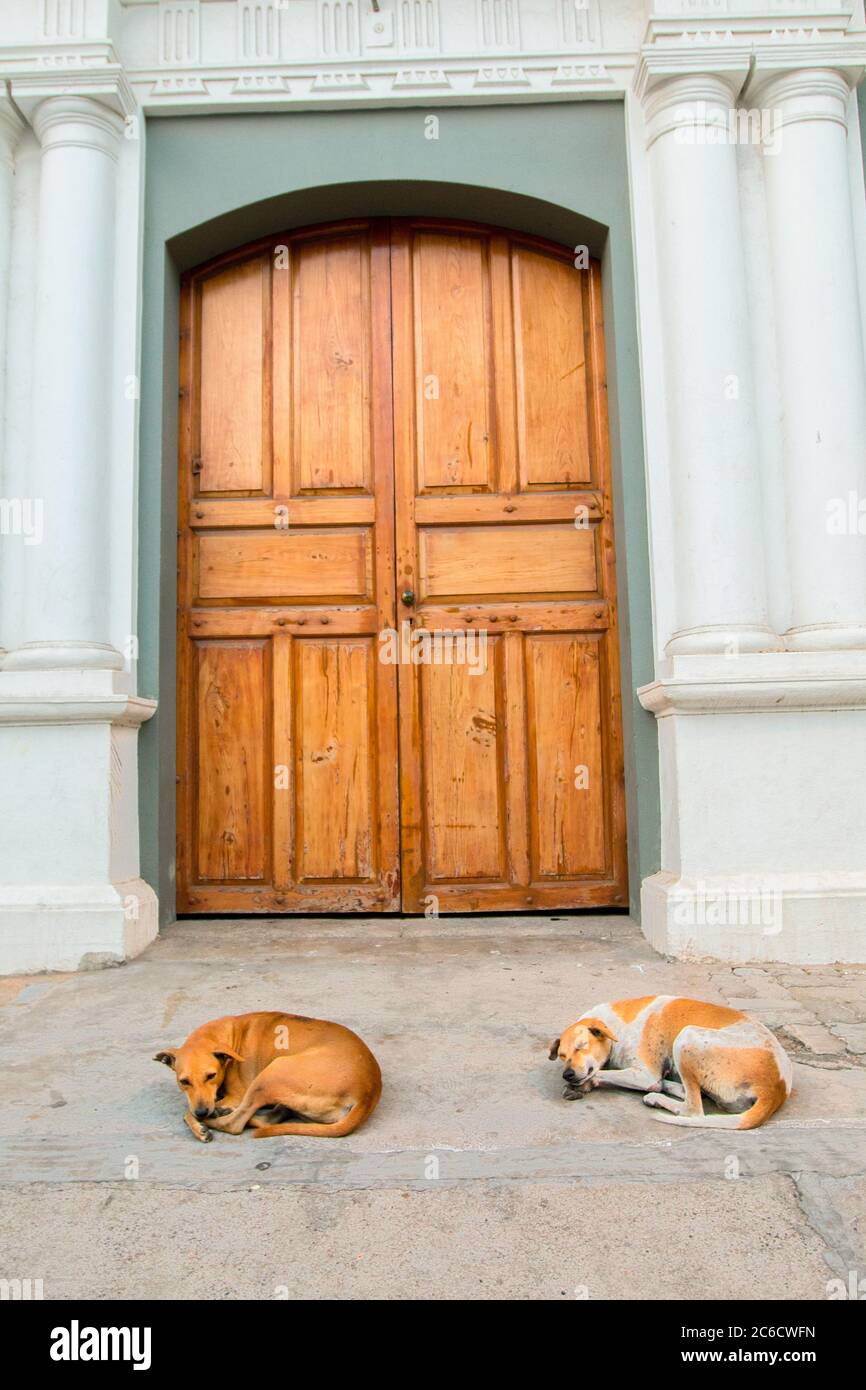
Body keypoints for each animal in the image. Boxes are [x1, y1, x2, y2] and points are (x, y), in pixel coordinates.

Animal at [153, 1011, 383, 1139]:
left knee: (234, 1124)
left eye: (211, 1075)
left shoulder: (235, 1095)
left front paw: (200, 1122)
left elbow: (187, 1112)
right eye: (184, 1082)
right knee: (269, 1119)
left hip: (270, 1074)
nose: (201, 1112)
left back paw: (215, 1120)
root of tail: (368, 1091)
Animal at [547, 995, 795, 1123]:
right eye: (562, 1056)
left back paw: (657, 1098)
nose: (567, 1074)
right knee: (690, 1094)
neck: (615, 1027)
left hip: (686, 1036)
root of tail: (776, 1088)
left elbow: (601, 1072)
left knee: (693, 1109)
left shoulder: (645, 1074)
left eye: (581, 1046)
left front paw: (586, 1083)